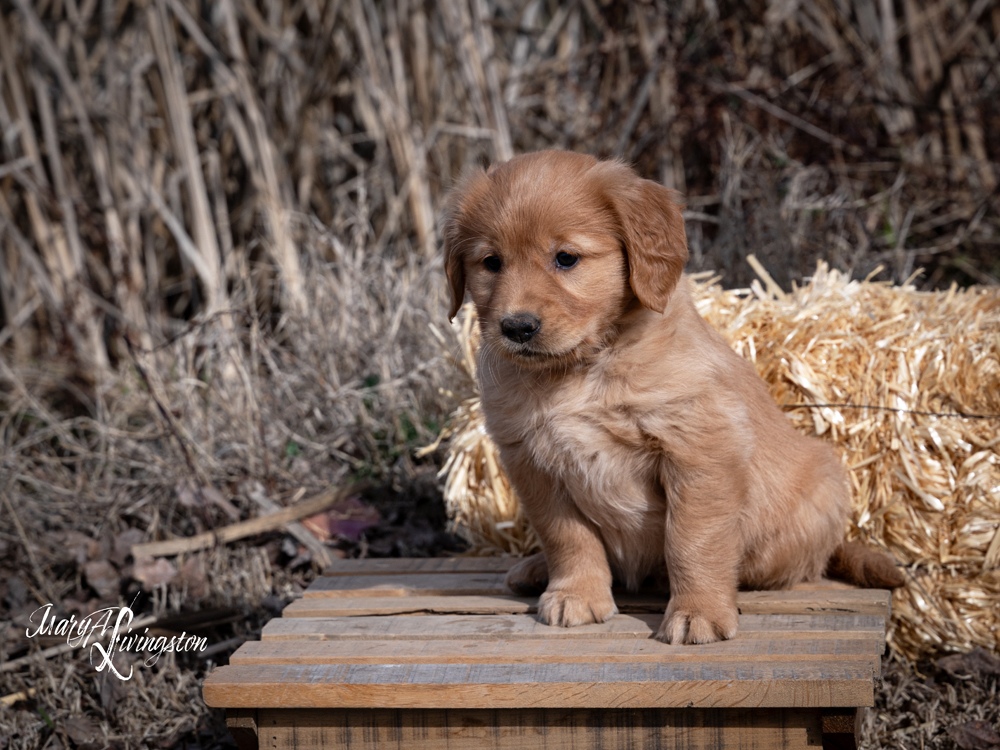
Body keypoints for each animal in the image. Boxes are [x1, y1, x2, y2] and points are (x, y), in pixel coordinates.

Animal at [446, 150, 908, 644]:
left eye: (566, 258)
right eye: (491, 262)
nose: (516, 327)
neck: (584, 368)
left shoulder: (699, 449)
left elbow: (692, 541)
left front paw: (698, 610)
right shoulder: (533, 463)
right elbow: (567, 536)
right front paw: (576, 593)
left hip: (820, 488)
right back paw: (534, 569)